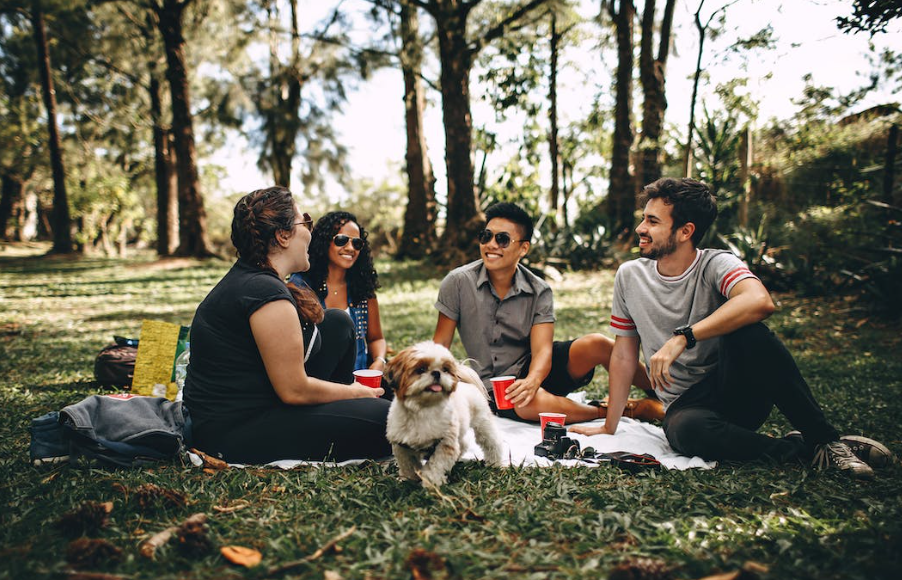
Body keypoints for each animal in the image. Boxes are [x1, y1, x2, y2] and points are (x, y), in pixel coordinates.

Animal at [384, 342, 504, 488]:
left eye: (445, 369)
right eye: (421, 369)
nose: (437, 373)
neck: (423, 409)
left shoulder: (445, 442)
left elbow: (436, 465)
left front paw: (431, 482)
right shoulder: (402, 445)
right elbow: (408, 464)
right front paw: (408, 479)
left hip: (482, 423)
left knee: (491, 443)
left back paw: (494, 463)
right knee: (463, 444)